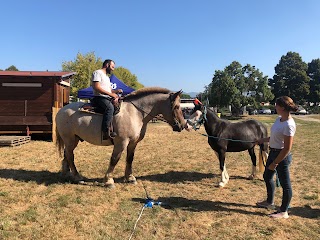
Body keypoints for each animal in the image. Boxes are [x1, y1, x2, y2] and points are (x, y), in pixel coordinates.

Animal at [54, 87, 185, 188]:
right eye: (177, 107)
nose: (183, 125)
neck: (135, 113)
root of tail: (61, 111)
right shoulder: (121, 142)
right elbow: (114, 159)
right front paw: (108, 181)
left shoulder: (133, 143)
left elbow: (130, 159)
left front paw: (130, 177)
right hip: (69, 139)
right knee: (70, 156)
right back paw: (77, 177)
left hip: (73, 140)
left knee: (67, 154)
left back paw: (66, 174)